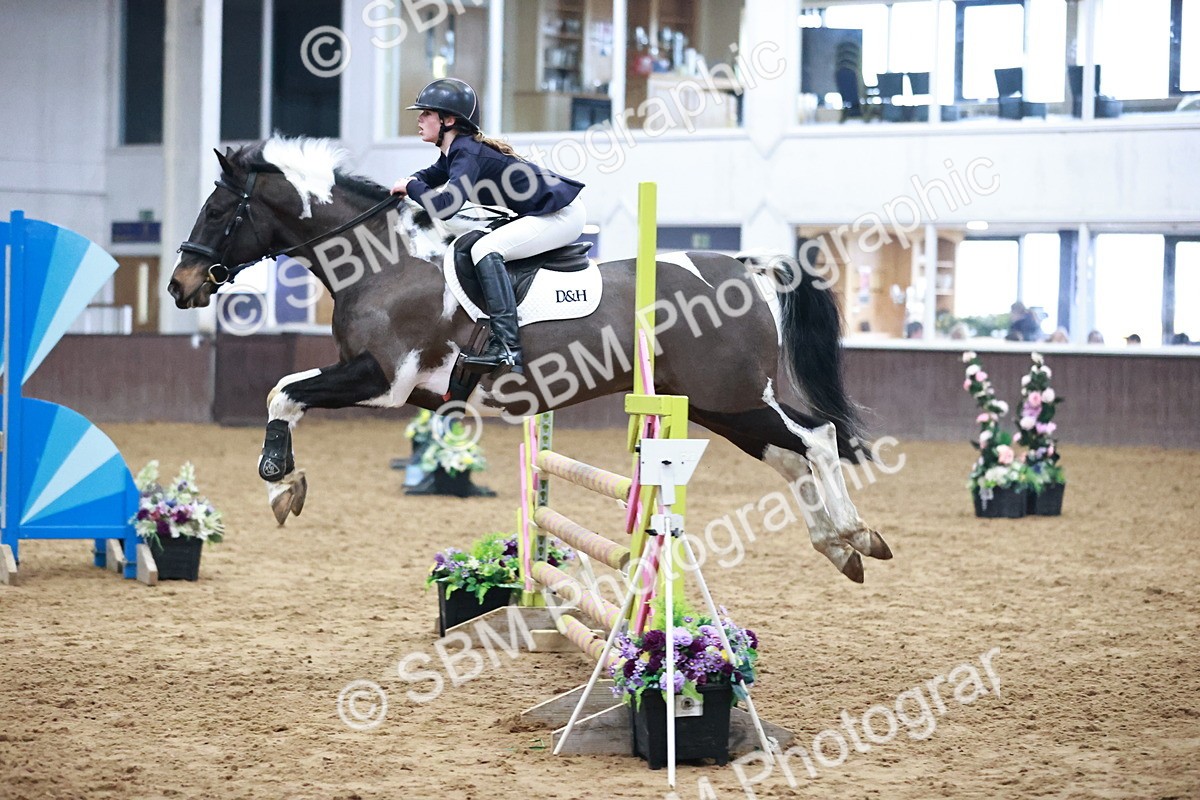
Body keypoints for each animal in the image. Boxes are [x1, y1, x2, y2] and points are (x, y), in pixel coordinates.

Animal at [167, 137, 892, 583]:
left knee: (817, 437)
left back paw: (856, 532)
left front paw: (279, 482)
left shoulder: (385, 379)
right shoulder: (392, 385)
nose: (180, 286)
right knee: (788, 456)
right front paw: (284, 484)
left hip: (732, 395)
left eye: (220, 208)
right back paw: (839, 547)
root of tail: (745, 267)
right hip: (719, 405)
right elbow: (287, 391)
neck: (383, 260)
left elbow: (283, 390)